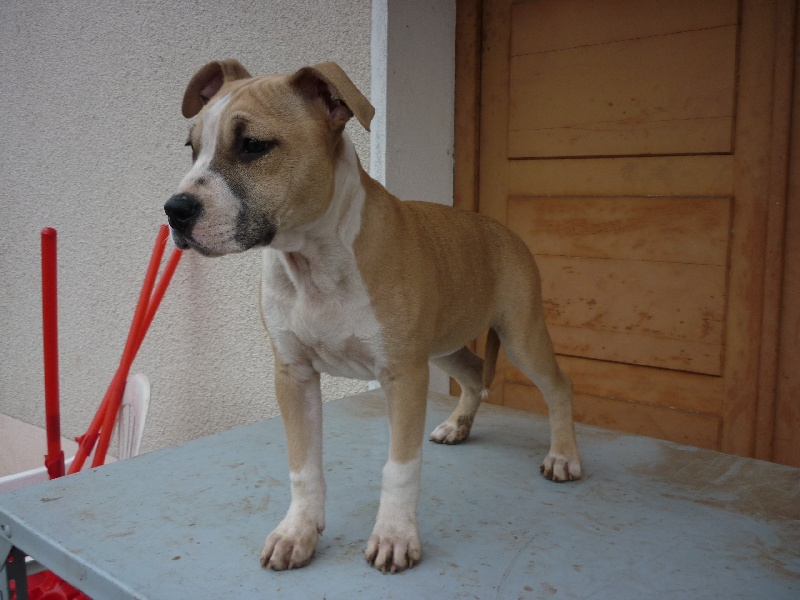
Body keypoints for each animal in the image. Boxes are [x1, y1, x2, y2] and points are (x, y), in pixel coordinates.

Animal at [166, 58, 584, 576]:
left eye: (253, 146)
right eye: (192, 148)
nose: (174, 210)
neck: (315, 262)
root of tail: (502, 229)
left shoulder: (404, 375)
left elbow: (399, 468)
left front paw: (395, 536)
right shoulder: (294, 375)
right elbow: (303, 466)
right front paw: (298, 531)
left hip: (520, 335)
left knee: (558, 385)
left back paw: (563, 455)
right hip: (442, 346)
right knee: (472, 373)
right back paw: (458, 425)